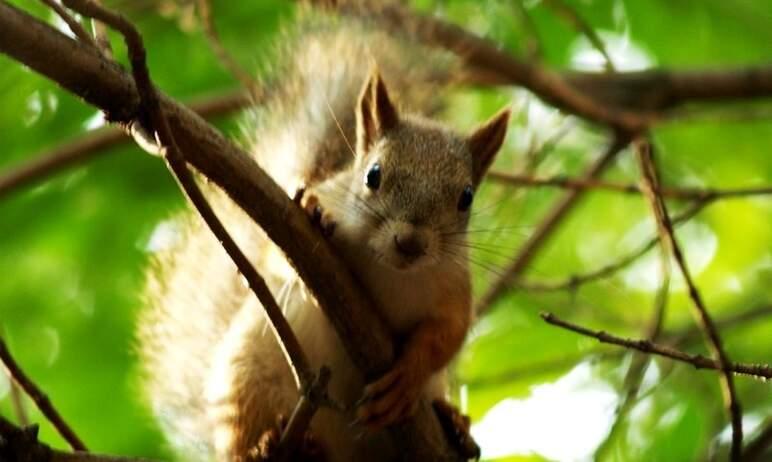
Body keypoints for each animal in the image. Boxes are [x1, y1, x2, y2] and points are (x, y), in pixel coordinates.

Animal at [139, 4, 512, 462]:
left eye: (466, 197)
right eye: (372, 175)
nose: (410, 243)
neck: (391, 271)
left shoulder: (454, 286)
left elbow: (447, 335)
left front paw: (408, 375)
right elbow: (277, 254)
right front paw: (315, 216)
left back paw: (454, 425)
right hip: (248, 375)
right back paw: (267, 446)